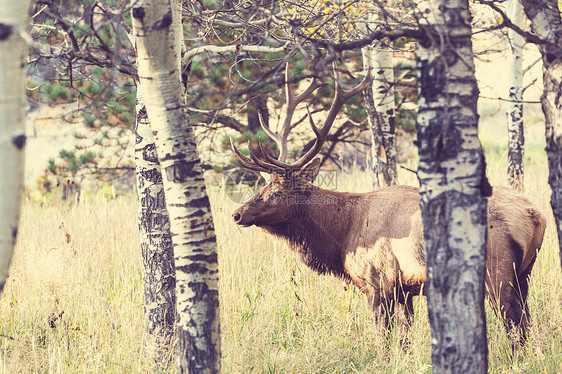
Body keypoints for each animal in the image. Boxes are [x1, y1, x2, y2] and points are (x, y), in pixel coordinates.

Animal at [230, 65, 544, 344]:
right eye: (262, 186)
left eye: (276, 193)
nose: (237, 214)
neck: (342, 236)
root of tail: (535, 216)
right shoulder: (404, 290)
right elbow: (404, 338)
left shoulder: (378, 283)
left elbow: (383, 338)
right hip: (524, 273)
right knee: (527, 322)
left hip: (498, 270)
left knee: (514, 326)